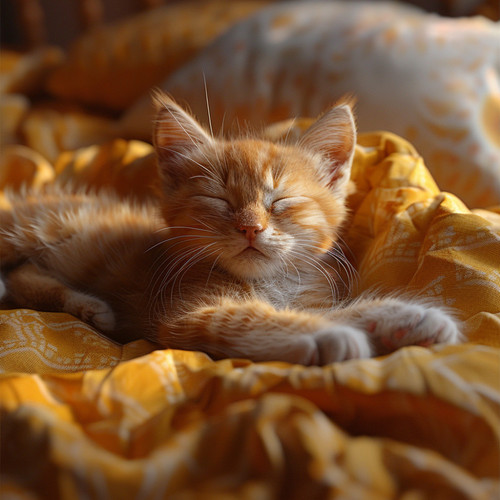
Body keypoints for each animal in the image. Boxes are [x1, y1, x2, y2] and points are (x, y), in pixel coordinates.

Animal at [0, 93, 460, 364]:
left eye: (280, 201)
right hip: (33, 230)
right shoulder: (184, 314)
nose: (250, 228)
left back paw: (88, 305)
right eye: (220, 201)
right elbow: (248, 319)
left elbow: (340, 309)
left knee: (23, 275)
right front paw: (327, 335)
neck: (268, 284)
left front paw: (408, 317)